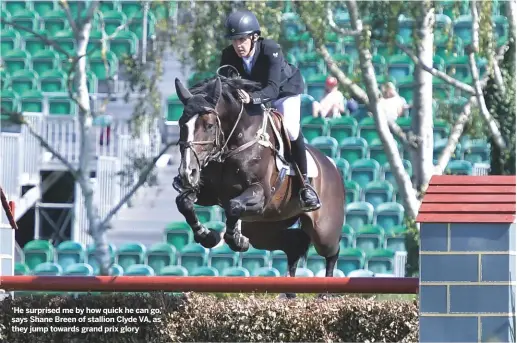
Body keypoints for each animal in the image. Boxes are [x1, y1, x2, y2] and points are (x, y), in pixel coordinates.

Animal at [171, 75, 344, 296]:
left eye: (209, 125)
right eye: (181, 124)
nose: (187, 173)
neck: (234, 142)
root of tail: (332, 165)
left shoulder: (260, 194)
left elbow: (233, 206)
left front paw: (236, 240)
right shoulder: (208, 193)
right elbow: (184, 202)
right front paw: (207, 236)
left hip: (322, 229)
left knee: (331, 251)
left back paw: (324, 294)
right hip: (264, 227)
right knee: (294, 244)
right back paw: (290, 293)